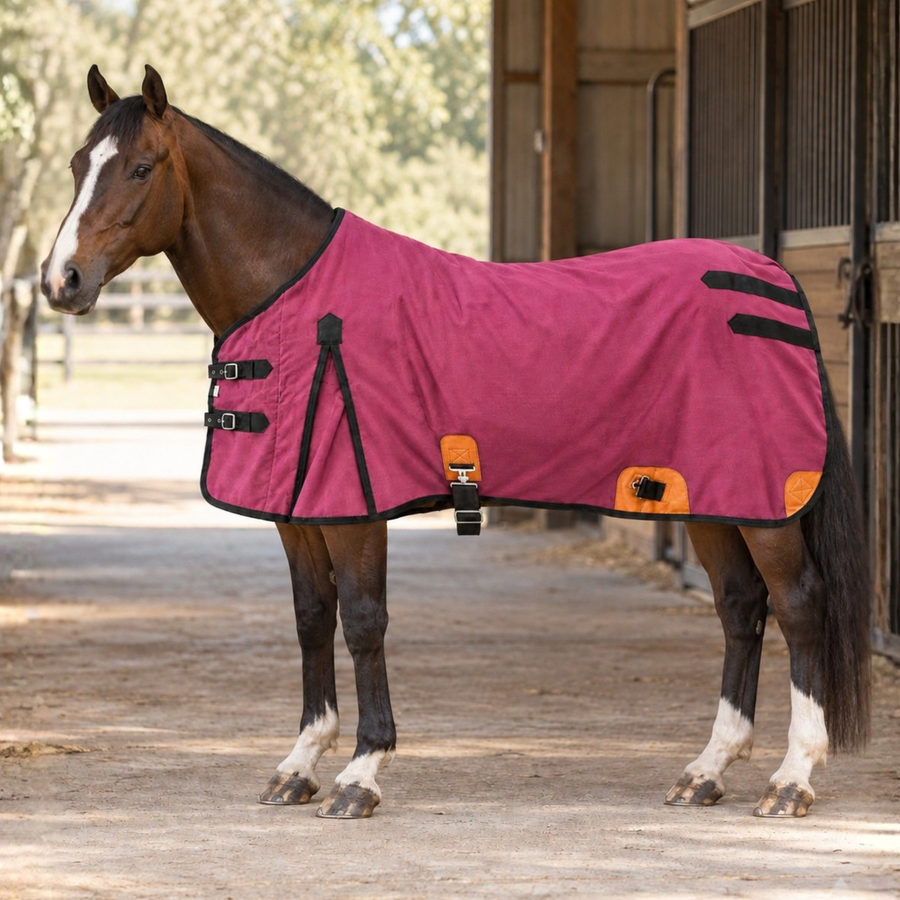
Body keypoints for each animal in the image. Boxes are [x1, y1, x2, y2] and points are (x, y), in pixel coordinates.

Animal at [40, 65, 871, 819]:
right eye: (79, 163)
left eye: (141, 167)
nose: (61, 281)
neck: (296, 299)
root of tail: (773, 280)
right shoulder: (296, 512)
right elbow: (311, 620)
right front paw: (299, 765)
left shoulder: (355, 509)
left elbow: (362, 622)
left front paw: (360, 774)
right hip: (710, 499)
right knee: (739, 608)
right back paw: (707, 770)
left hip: (764, 505)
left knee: (798, 606)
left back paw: (792, 778)